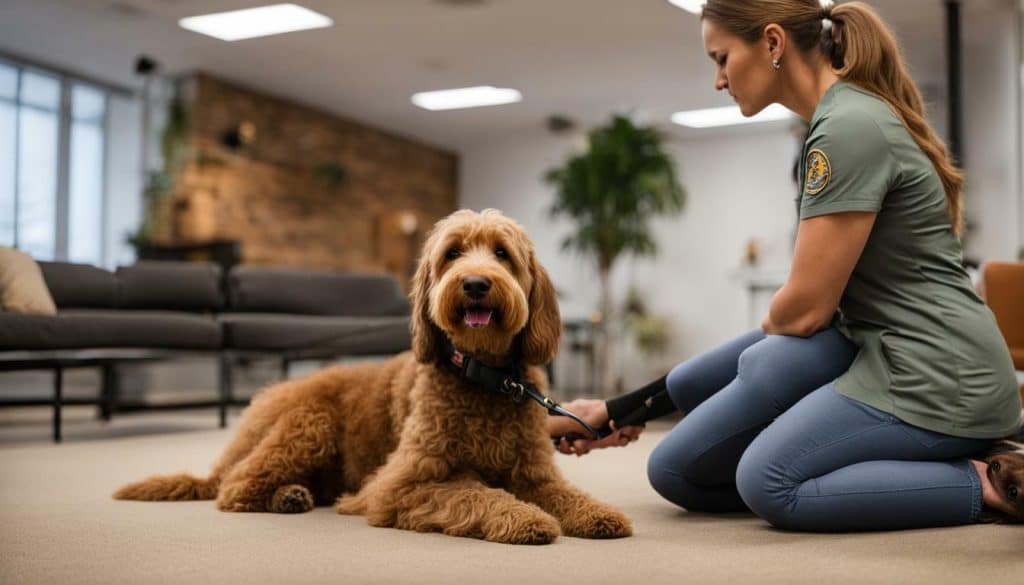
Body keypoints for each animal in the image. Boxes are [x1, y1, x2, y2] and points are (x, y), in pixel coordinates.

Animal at [114, 209, 630, 545]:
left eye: (502, 254)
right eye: (453, 253)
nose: (475, 283)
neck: (484, 377)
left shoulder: (532, 471)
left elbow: (564, 493)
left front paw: (598, 513)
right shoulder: (399, 485)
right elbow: (474, 494)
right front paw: (525, 520)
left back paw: (292, 496)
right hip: (309, 424)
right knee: (234, 489)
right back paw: (280, 495)